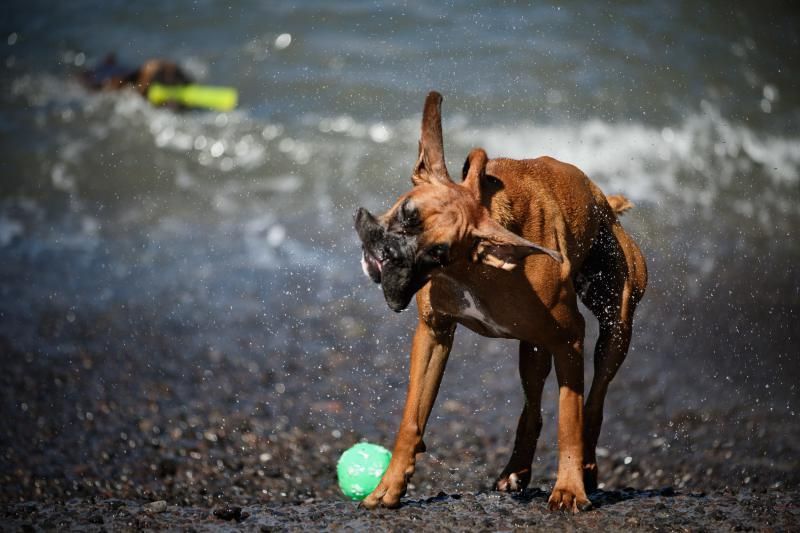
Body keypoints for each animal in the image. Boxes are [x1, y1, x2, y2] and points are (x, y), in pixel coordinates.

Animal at [354, 91, 648, 512]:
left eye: (438, 253)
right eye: (407, 213)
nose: (392, 254)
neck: (474, 268)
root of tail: (604, 201)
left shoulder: (571, 339)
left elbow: (569, 419)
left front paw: (570, 487)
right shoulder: (433, 334)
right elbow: (412, 418)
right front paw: (389, 486)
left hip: (614, 330)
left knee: (593, 402)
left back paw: (587, 470)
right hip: (535, 349)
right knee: (533, 407)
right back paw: (516, 470)